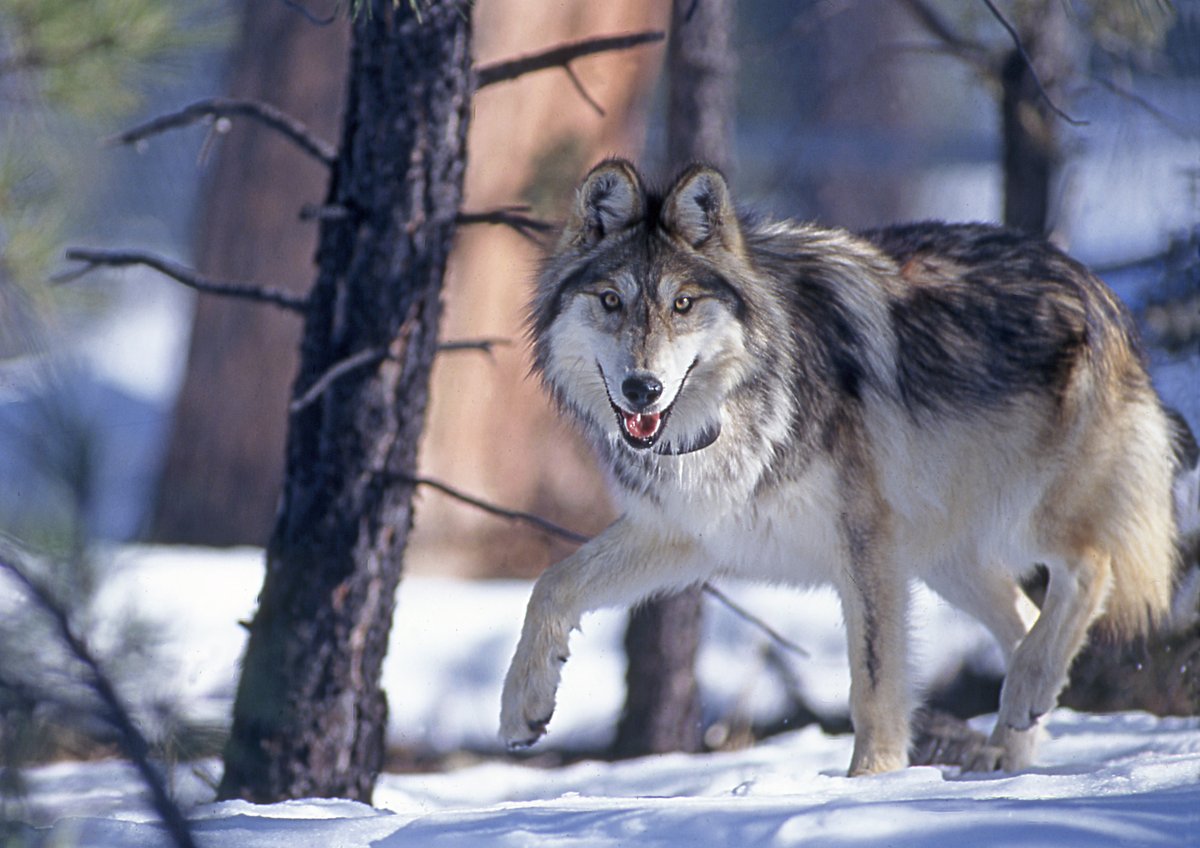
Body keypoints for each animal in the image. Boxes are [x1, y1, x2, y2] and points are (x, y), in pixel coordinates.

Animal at [499, 158, 1177, 775]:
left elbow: (874, 683)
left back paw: (1025, 700)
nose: (643, 389)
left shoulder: (865, 543)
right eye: (612, 301)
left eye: (683, 303)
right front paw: (520, 708)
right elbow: (550, 585)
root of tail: (1093, 283)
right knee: (1028, 619)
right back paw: (1009, 747)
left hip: (1021, 518)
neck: (729, 413)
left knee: (1092, 566)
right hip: (942, 558)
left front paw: (870, 782)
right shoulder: (689, 533)